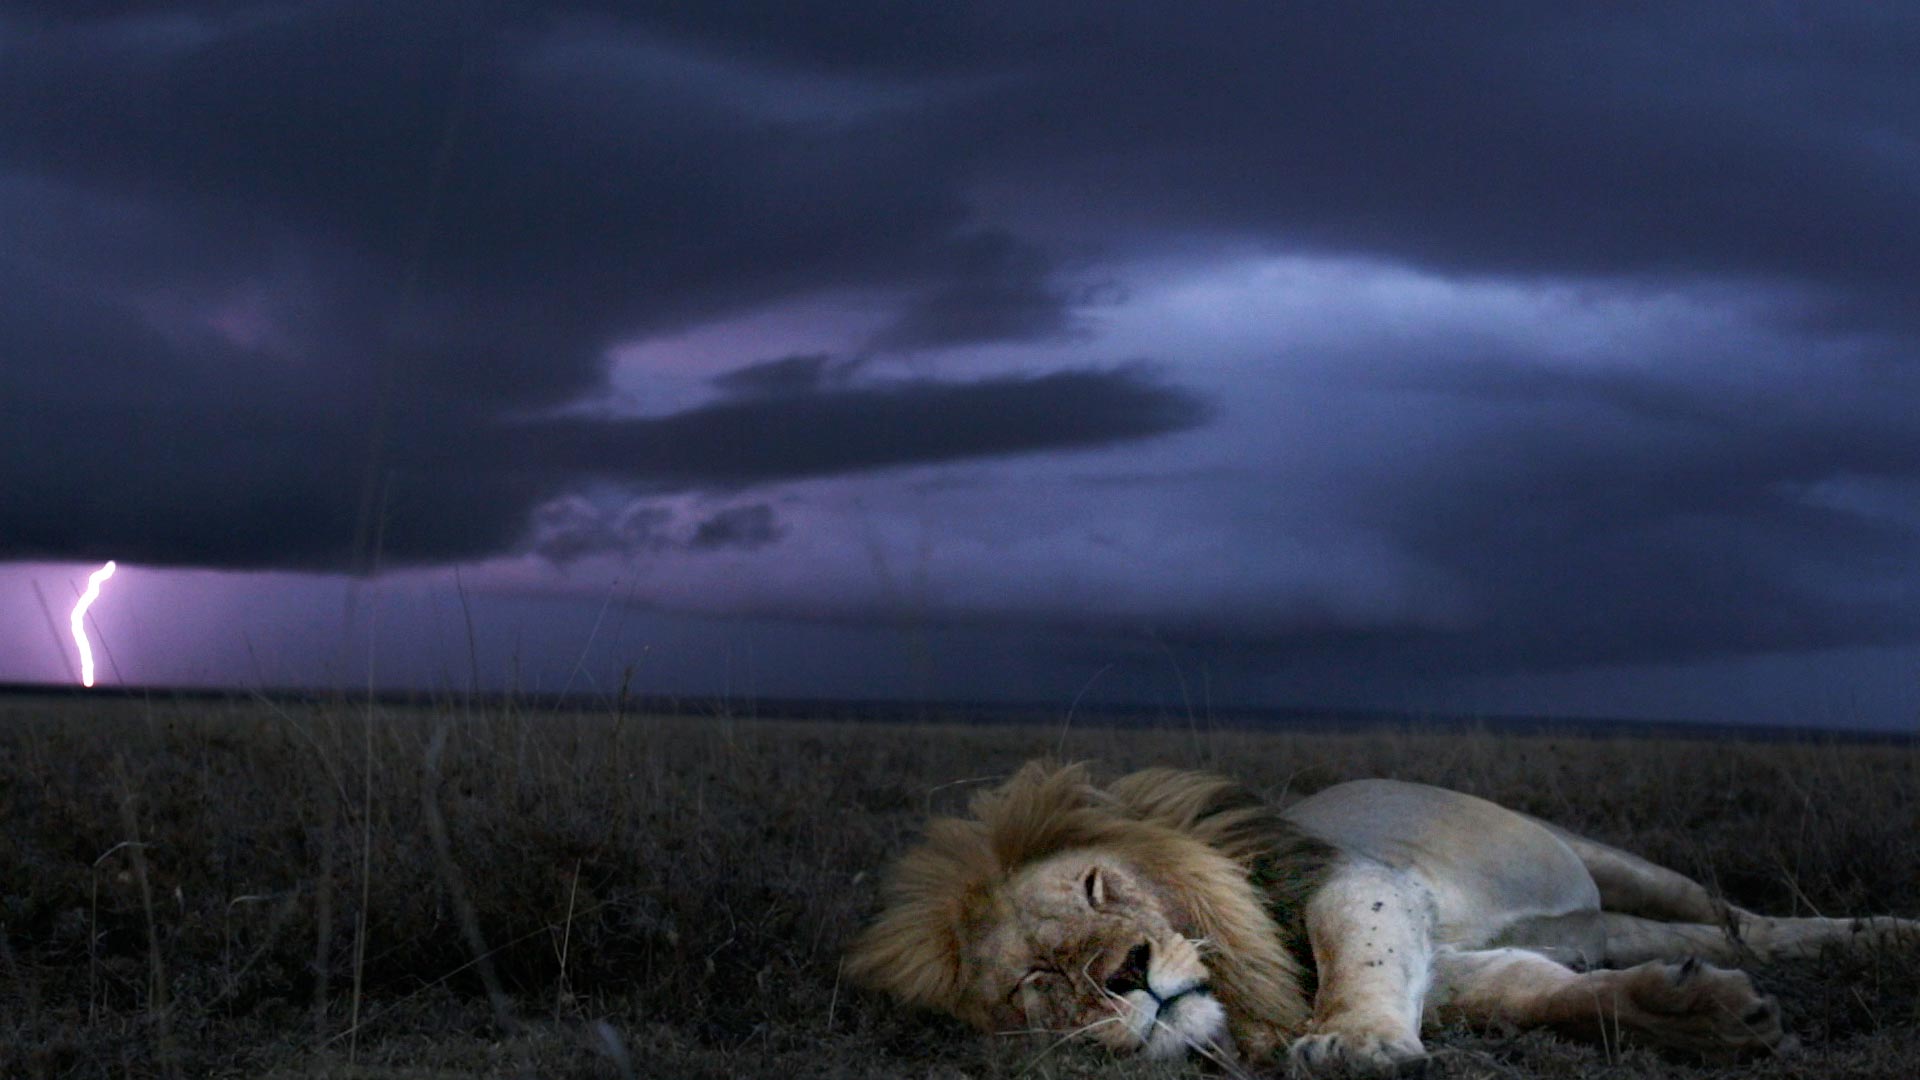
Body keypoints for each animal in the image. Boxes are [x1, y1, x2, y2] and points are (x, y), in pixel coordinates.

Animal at [852, 760, 1920, 1068]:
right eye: (1037, 981)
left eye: (1096, 889)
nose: (1125, 976)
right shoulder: (1452, 974)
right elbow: (1534, 994)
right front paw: (1698, 1016)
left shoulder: (1351, 880)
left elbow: (1349, 942)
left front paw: (1353, 1039)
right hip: (1613, 923)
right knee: (1696, 938)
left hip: (1607, 856)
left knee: (1743, 916)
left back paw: (1884, 935)